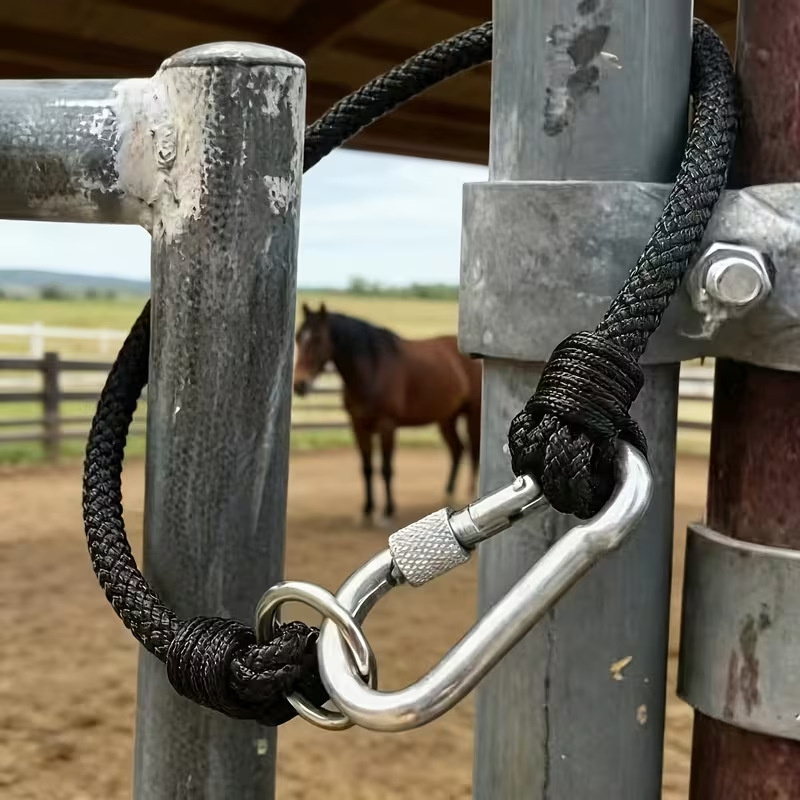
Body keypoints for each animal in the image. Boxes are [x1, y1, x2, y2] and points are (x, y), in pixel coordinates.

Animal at [292, 302, 482, 525]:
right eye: (298, 337)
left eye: (318, 338)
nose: (299, 384)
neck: (373, 369)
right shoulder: (358, 427)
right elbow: (366, 468)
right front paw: (367, 510)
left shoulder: (387, 426)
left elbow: (386, 468)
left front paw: (387, 511)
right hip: (446, 418)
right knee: (457, 450)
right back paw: (448, 494)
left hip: (473, 415)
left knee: (473, 452)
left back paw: (470, 493)